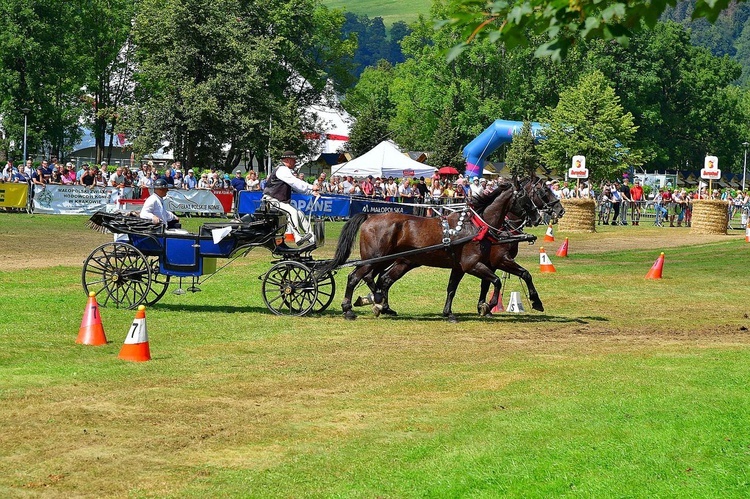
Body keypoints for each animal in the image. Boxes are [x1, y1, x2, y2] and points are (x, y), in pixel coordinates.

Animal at [324, 180, 540, 320]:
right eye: (527, 197)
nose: (538, 216)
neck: (477, 225)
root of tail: (370, 216)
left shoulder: (461, 266)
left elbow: (453, 288)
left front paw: (449, 313)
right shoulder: (473, 264)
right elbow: (497, 281)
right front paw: (490, 305)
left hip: (389, 260)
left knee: (380, 279)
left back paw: (379, 304)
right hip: (374, 259)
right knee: (355, 277)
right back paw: (349, 309)